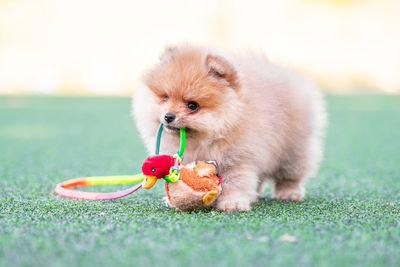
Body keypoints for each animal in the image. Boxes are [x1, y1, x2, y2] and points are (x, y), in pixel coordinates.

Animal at [133, 44, 326, 211]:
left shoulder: (238, 159)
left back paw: (289, 193)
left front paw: (232, 204)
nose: (168, 116)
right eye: (165, 98)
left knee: (290, 174)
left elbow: (235, 183)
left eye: (192, 106)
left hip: (294, 150)